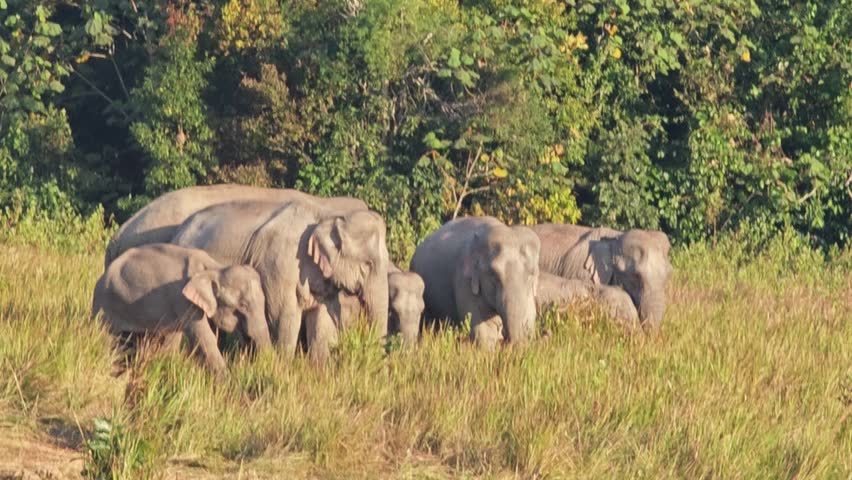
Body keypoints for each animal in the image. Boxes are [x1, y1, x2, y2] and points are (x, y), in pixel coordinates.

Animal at [91, 243, 271, 374]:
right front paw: (226, 381)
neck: (214, 268)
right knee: (105, 337)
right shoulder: (183, 300)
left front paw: (165, 364)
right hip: (103, 304)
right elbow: (204, 337)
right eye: (242, 306)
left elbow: (173, 338)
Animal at [410, 216, 540, 349]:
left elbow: (530, 315)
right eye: (493, 275)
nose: (506, 341)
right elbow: (484, 329)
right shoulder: (465, 281)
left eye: (531, 274)